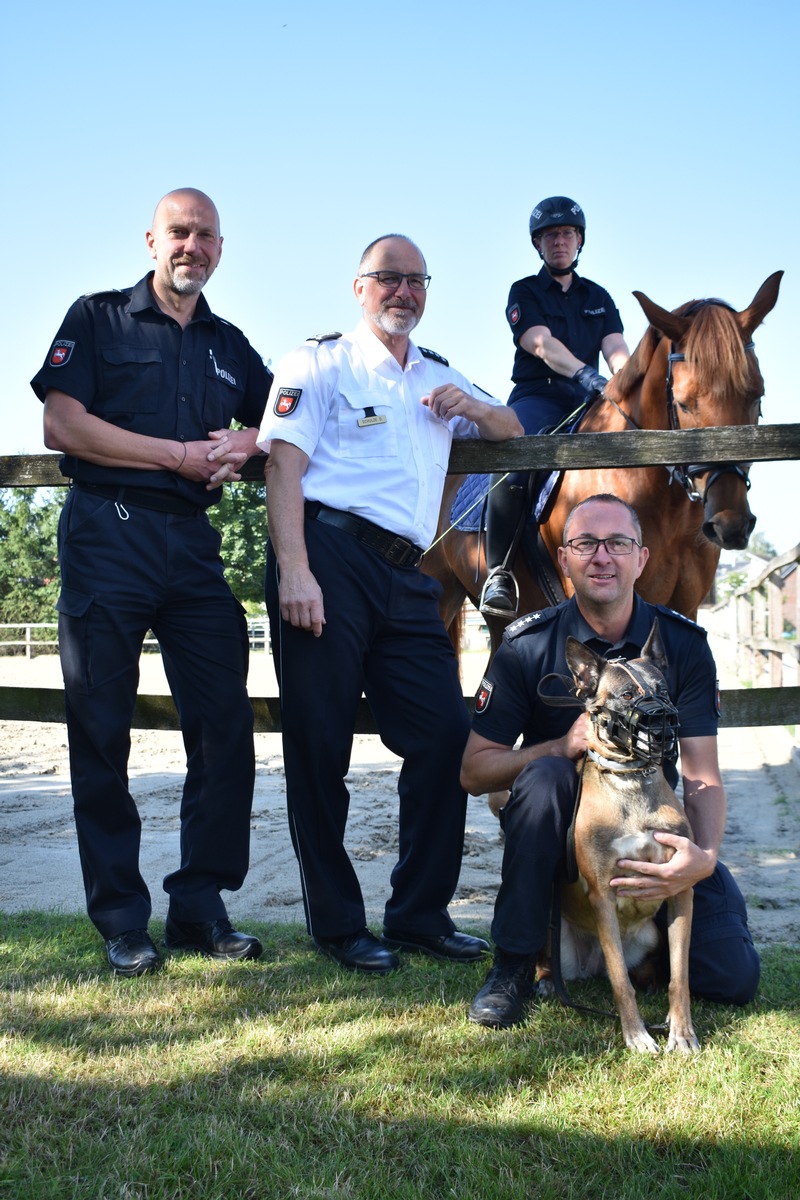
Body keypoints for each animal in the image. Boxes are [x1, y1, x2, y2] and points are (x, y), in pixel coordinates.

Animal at [544, 624, 700, 1056]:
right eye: (628, 695)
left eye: (663, 690)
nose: (664, 722)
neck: (632, 781)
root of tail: (588, 966)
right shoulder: (602, 894)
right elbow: (619, 980)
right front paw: (636, 1034)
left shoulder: (681, 889)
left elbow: (680, 976)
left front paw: (681, 1031)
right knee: (585, 968)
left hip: (650, 938)